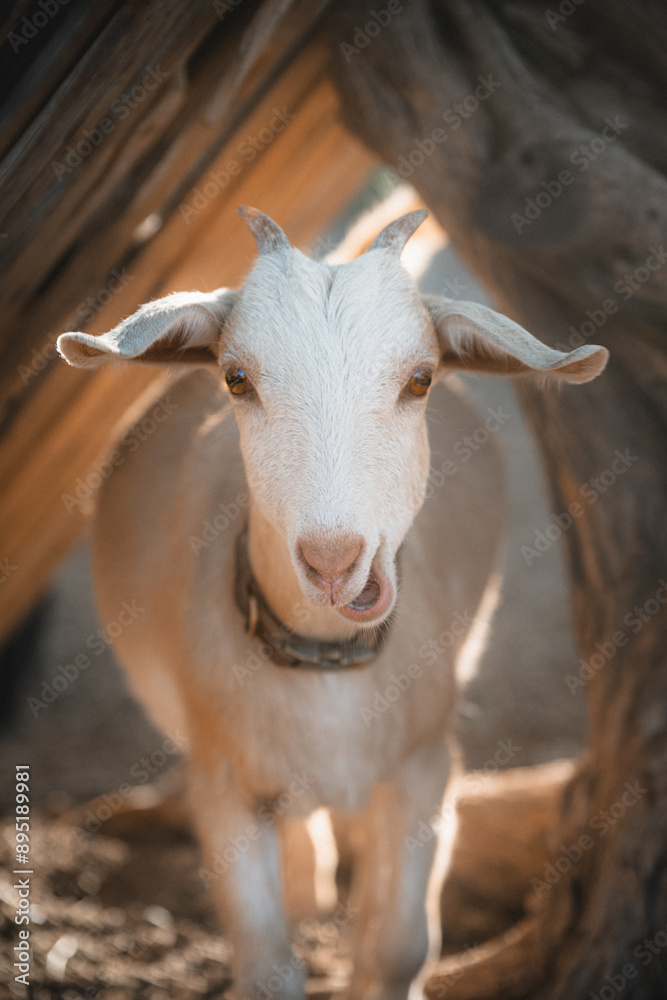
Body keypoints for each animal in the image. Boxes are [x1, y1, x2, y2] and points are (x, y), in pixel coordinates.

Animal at [58, 206, 608, 1000]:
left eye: (420, 379)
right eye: (236, 378)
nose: (331, 562)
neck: (326, 669)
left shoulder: (425, 767)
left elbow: (399, 944)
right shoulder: (221, 783)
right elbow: (267, 967)